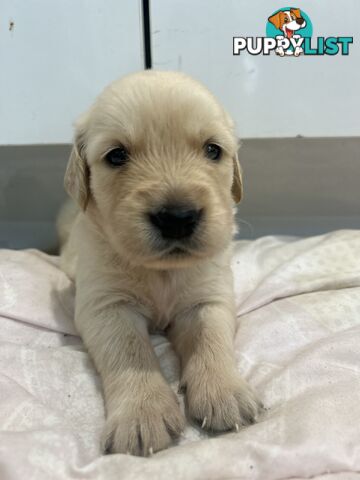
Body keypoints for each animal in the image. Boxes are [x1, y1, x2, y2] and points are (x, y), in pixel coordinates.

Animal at [59, 69, 262, 456]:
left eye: (213, 150)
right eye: (117, 156)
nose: (178, 218)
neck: (162, 271)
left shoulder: (208, 298)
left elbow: (211, 340)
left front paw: (226, 392)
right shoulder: (106, 305)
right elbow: (130, 352)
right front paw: (142, 415)